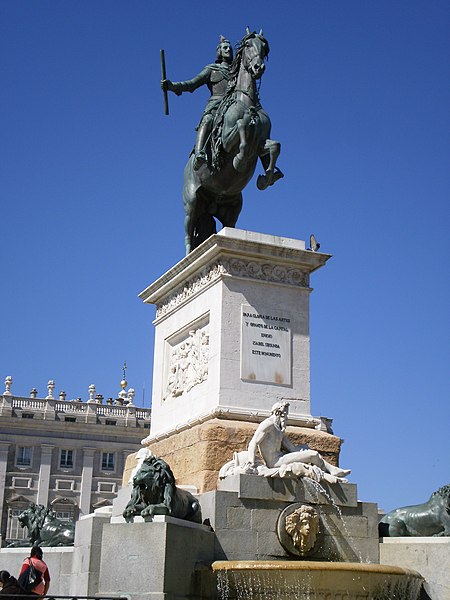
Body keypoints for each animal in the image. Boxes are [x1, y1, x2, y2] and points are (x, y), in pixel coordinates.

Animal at [182, 30, 282, 253]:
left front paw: (268, 177)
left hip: (232, 208)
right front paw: (239, 160)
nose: (258, 67)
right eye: (249, 46)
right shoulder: (226, 141)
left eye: (264, 48)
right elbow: (242, 127)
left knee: (228, 224)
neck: (247, 101)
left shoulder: (262, 142)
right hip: (192, 203)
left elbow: (275, 146)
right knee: (188, 233)